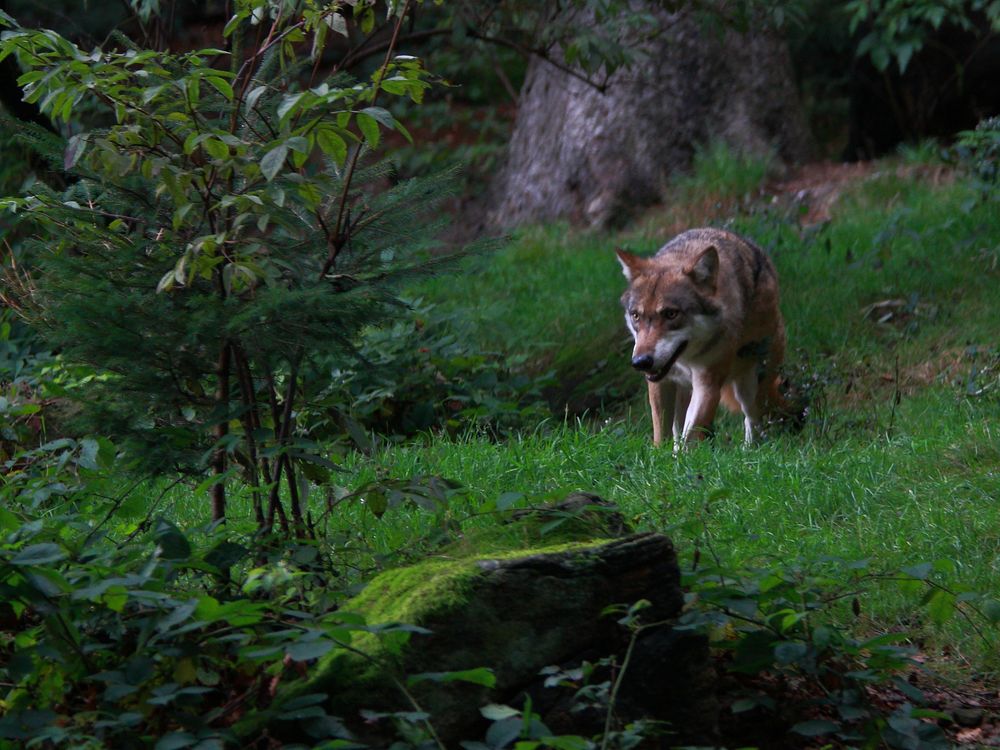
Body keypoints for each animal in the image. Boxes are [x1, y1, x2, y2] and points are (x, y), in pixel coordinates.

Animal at [616, 228, 788, 446]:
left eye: (671, 314)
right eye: (636, 316)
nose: (641, 362)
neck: (685, 361)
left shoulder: (707, 385)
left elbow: (690, 436)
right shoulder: (659, 383)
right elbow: (662, 435)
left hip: (750, 386)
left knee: (753, 419)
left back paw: (749, 450)